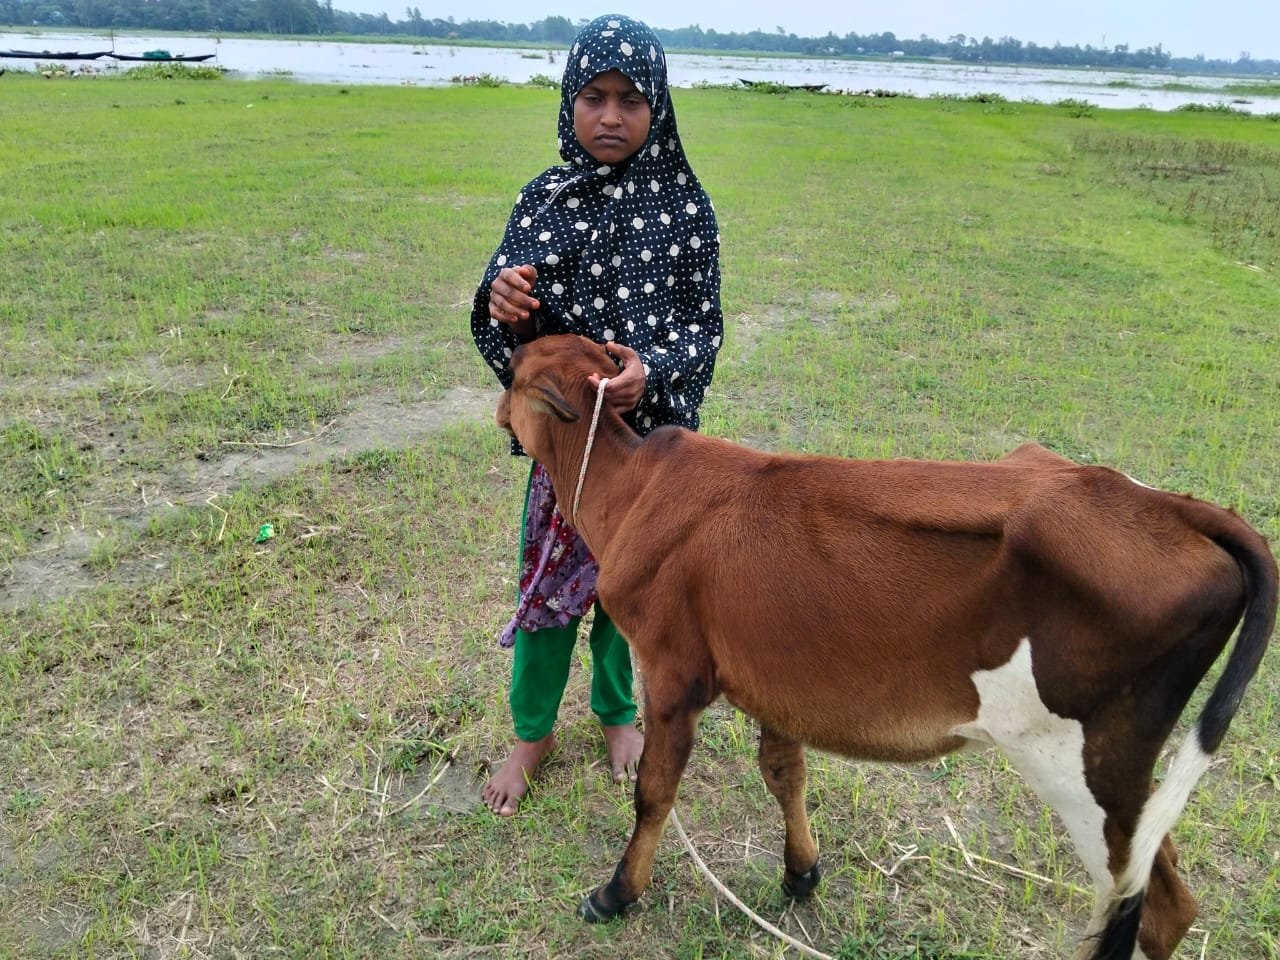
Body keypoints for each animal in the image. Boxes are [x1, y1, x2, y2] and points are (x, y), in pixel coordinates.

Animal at [494, 333, 1277, 960]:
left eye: (513, 372)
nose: (499, 414)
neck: (629, 489)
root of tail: (1171, 507)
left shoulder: (671, 671)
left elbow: (654, 793)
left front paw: (617, 893)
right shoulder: (773, 676)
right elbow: (785, 773)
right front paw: (801, 873)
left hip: (1086, 763)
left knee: (1157, 905)